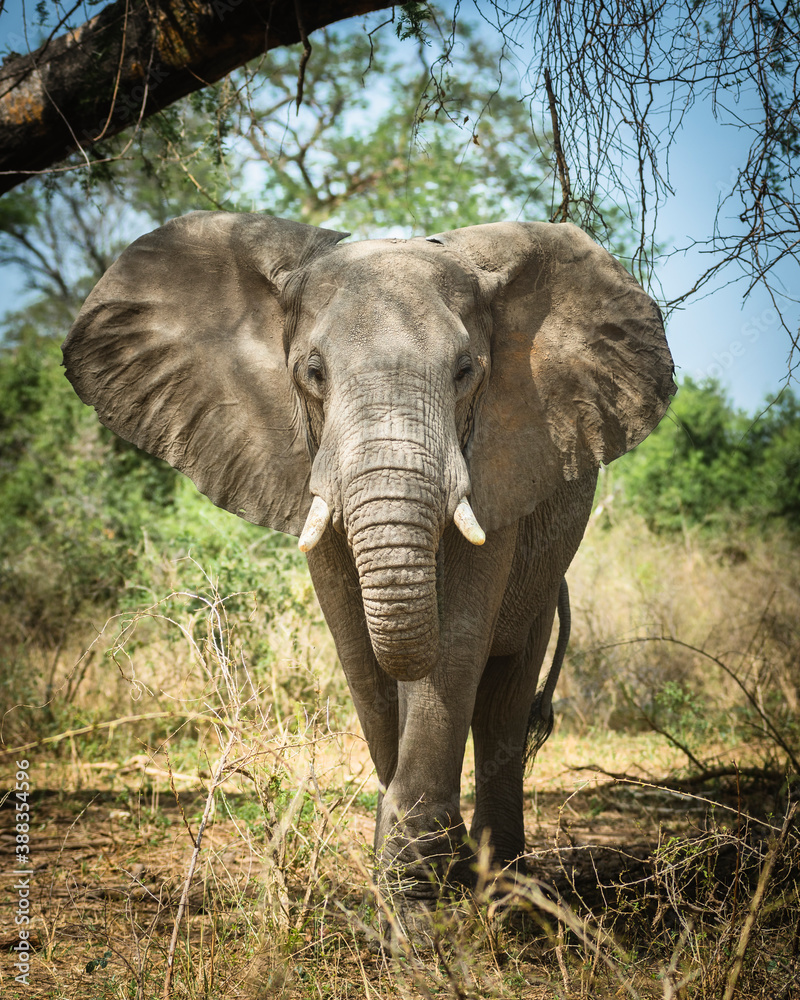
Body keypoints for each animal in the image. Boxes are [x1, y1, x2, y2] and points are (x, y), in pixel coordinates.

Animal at [63, 212, 674, 915]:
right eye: (312, 373)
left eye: (465, 371)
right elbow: (357, 643)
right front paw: (400, 887)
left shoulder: (502, 462)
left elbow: (457, 634)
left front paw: (421, 891)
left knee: (503, 697)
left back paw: (505, 894)